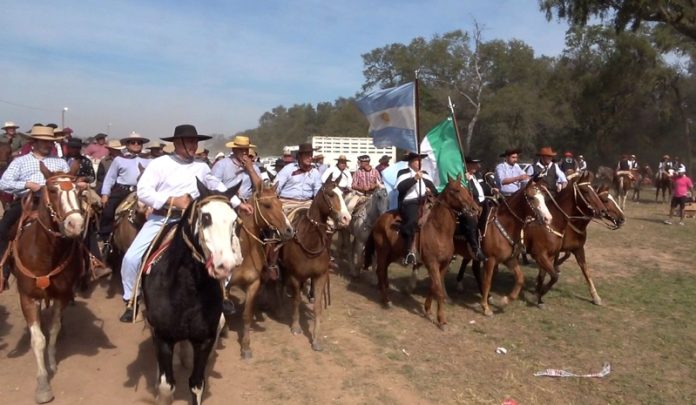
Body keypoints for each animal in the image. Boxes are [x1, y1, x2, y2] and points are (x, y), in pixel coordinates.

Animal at [7, 163, 85, 402]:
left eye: (79, 191)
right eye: (52, 190)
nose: (75, 224)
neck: (45, 253)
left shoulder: (61, 296)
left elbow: (53, 330)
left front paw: (51, 362)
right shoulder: (27, 297)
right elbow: (38, 339)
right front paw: (42, 384)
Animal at [141, 181, 245, 404]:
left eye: (235, 221)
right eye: (206, 217)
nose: (225, 265)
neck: (185, 292)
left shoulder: (204, 340)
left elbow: (197, 384)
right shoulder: (163, 336)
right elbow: (166, 386)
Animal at [228, 181, 294, 358]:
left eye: (281, 204)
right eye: (267, 205)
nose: (289, 230)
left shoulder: (254, 283)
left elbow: (247, 315)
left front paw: (246, 347)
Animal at [278, 176, 350, 350]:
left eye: (343, 193)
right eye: (331, 194)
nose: (347, 218)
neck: (309, 241)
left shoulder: (320, 276)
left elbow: (317, 305)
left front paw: (316, 339)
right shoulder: (295, 276)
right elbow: (296, 300)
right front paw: (295, 326)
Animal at [364, 174, 478, 328]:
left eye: (465, 188)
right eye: (456, 190)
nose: (475, 208)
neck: (438, 229)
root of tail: (379, 219)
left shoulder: (443, 265)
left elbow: (433, 287)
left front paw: (428, 310)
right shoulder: (432, 264)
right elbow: (439, 290)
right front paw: (441, 320)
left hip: (393, 254)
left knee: (384, 270)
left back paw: (386, 292)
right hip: (383, 251)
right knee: (380, 270)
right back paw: (386, 300)